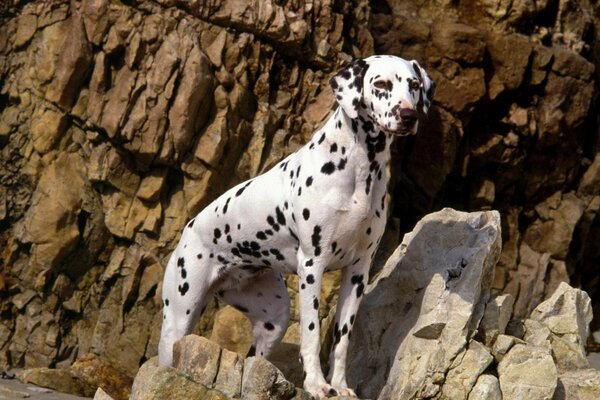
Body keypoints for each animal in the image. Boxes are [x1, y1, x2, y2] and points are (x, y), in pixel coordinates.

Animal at [157, 54, 434, 398]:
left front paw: (340, 386)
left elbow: (342, 341)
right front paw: (316, 384)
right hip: (179, 317)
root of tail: (189, 228)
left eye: (414, 84)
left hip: (273, 321)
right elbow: (312, 335)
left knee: (257, 357)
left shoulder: (358, 271)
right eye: (381, 83)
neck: (359, 169)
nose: (409, 115)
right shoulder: (312, 266)